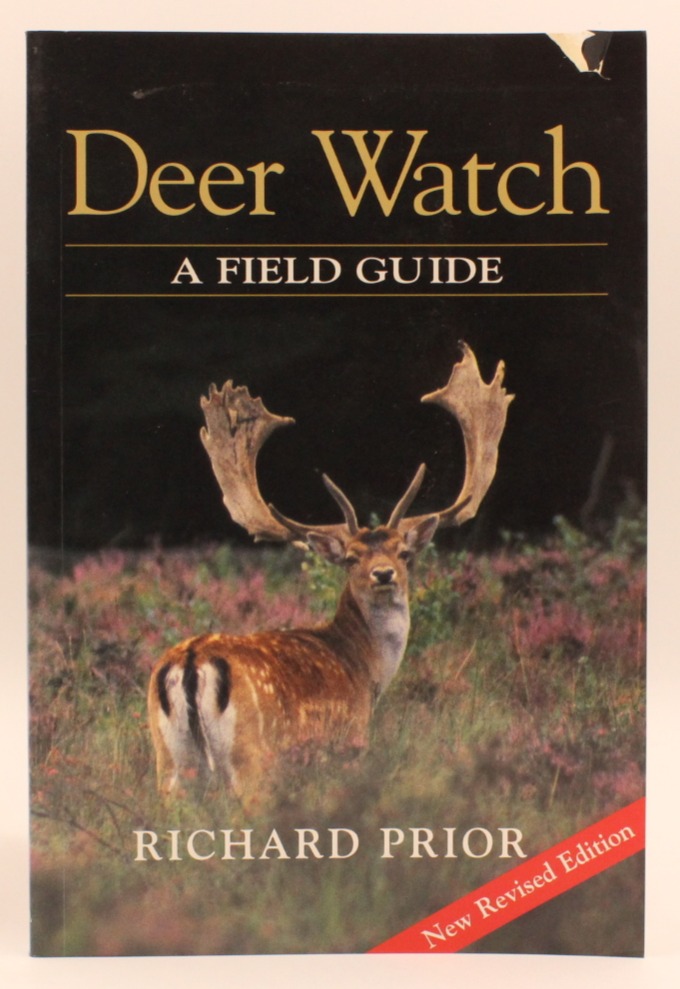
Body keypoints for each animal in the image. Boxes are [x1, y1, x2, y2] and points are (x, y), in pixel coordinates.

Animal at [147, 342, 513, 804]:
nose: (383, 574)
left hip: (170, 761)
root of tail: (191, 662)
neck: (365, 670)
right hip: (252, 757)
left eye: (404, 552)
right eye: (352, 557)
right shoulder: (348, 742)